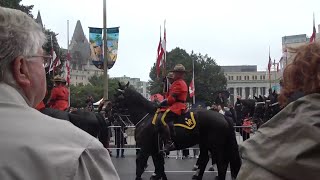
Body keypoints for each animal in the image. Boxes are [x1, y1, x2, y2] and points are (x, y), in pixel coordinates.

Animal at [111, 82, 239, 180]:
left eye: (117, 96)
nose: (110, 113)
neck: (146, 116)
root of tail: (223, 116)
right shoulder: (155, 149)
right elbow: (159, 168)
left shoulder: (146, 148)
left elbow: (140, 165)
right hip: (204, 144)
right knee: (204, 159)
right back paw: (197, 176)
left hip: (216, 146)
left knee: (221, 164)